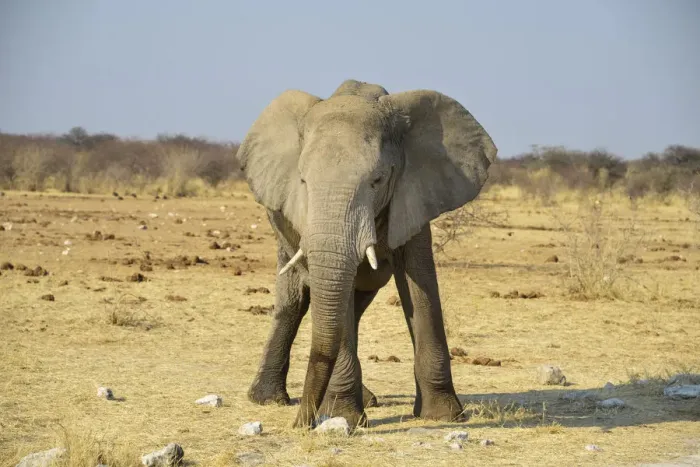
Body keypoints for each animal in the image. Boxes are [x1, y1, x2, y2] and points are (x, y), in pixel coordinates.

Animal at [236, 79, 497, 429]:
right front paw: (344, 416)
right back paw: (267, 399)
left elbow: (420, 284)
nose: (302, 424)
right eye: (302, 181)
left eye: (378, 180)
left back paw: (366, 399)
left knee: (356, 302)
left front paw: (444, 415)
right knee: (296, 301)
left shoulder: (414, 193)